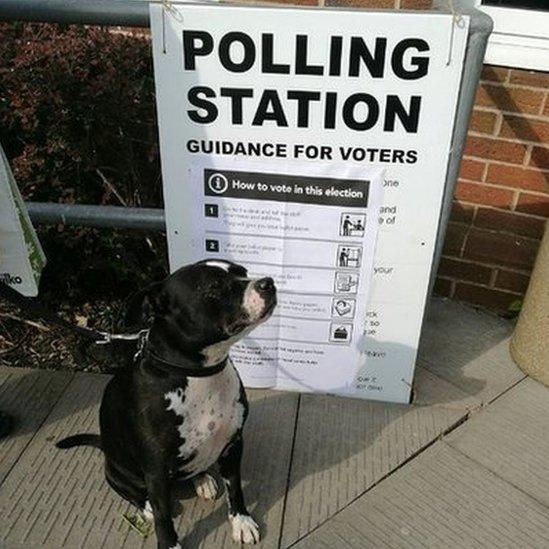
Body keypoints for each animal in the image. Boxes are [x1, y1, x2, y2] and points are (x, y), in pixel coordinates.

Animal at [57, 260, 276, 548]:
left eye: (243, 272)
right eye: (214, 287)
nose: (268, 283)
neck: (199, 374)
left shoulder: (233, 444)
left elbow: (235, 487)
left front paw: (241, 520)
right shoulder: (156, 471)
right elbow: (163, 516)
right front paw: (169, 543)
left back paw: (202, 479)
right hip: (118, 473)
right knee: (134, 494)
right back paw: (147, 505)